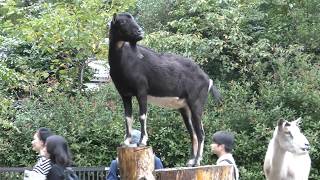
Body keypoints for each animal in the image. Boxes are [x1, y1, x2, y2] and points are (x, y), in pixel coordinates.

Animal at [109, 13, 221, 167]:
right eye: (122, 21)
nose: (140, 32)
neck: (124, 61)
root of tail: (208, 79)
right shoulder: (124, 94)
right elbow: (127, 117)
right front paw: (126, 141)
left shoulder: (141, 90)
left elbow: (142, 116)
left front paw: (141, 142)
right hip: (185, 107)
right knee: (192, 133)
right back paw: (191, 161)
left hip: (196, 103)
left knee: (200, 133)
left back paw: (197, 161)